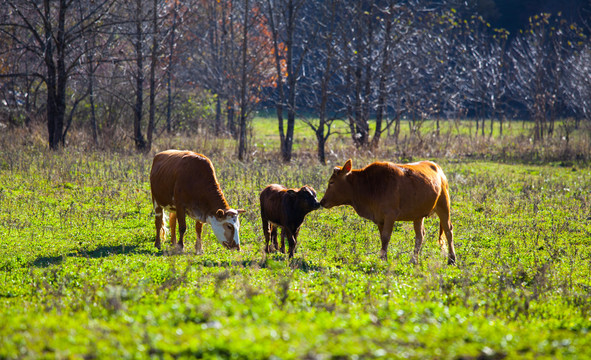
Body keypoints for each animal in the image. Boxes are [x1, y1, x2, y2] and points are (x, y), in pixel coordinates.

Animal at [322, 160, 456, 264]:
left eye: (332, 182)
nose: (322, 202)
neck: (369, 186)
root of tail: (437, 168)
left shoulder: (390, 215)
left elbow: (386, 237)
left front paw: (383, 258)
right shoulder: (379, 219)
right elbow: (382, 237)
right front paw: (383, 257)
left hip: (444, 205)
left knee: (448, 230)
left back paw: (452, 259)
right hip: (418, 215)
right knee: (420, 235)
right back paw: (414, 260)